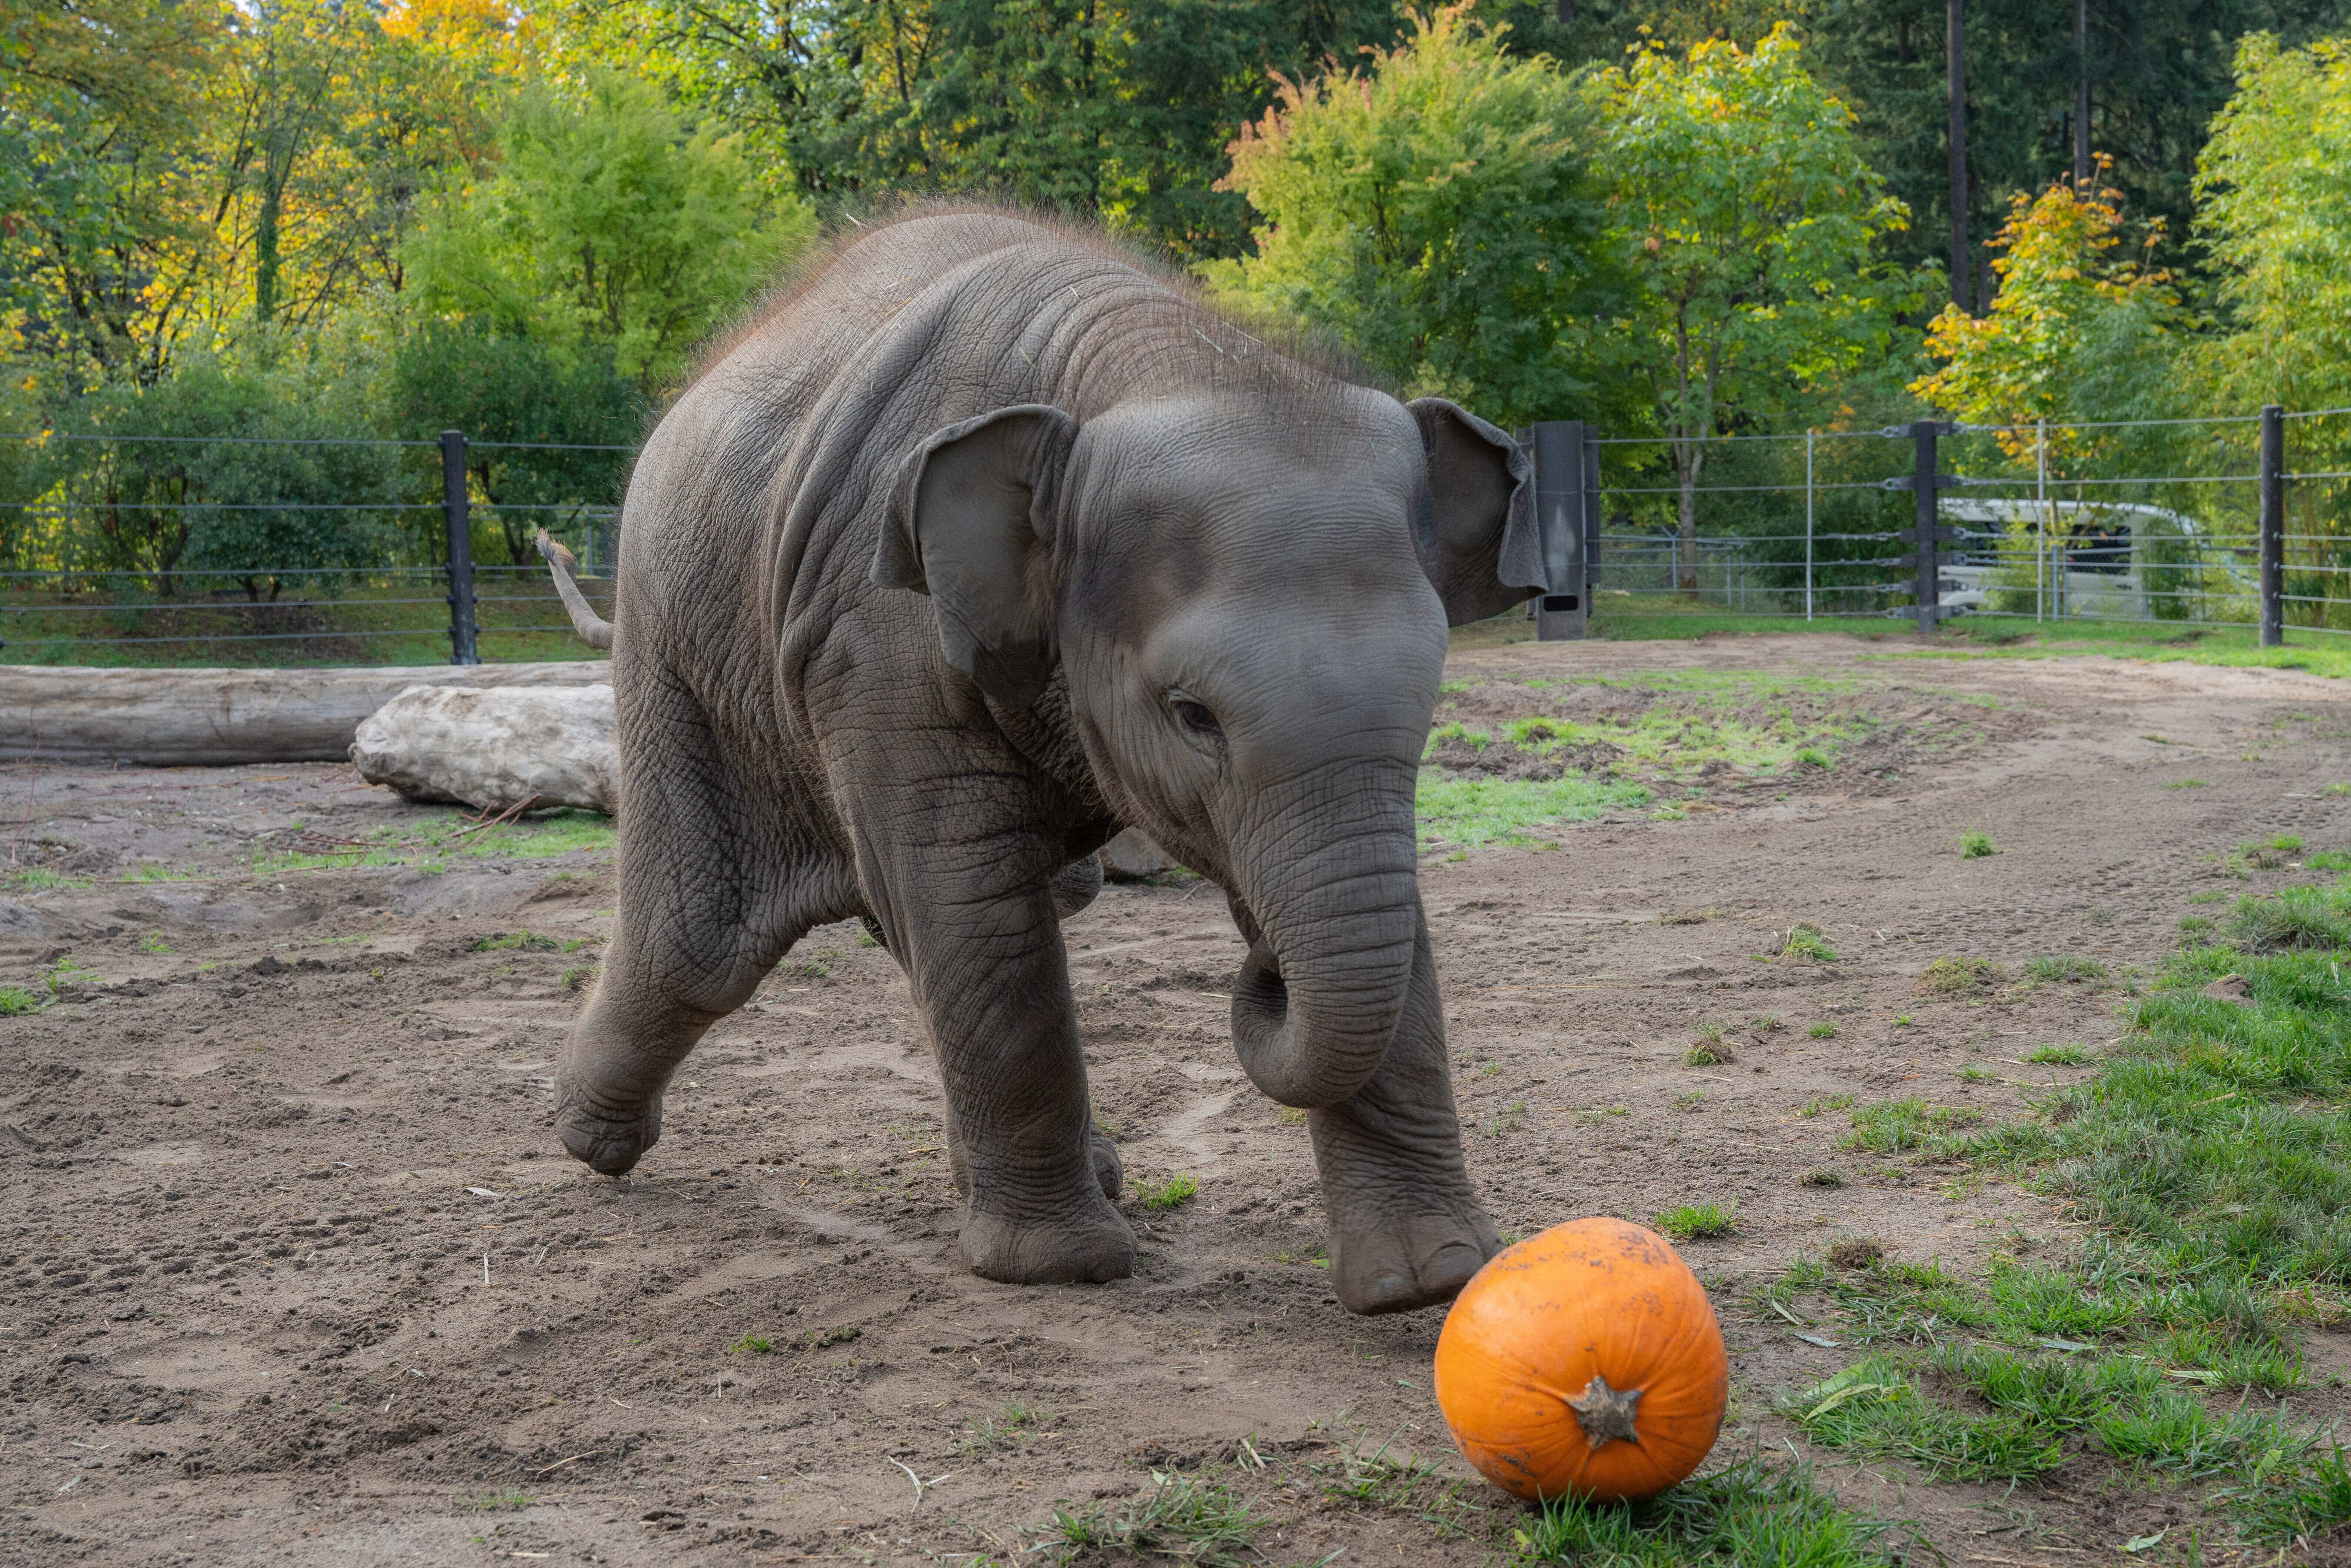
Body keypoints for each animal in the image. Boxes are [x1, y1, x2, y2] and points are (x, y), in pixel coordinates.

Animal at [539, 208, 1550, 1315]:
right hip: (682, 650)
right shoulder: (877, 630)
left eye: (1426, 703)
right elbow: (967, 891)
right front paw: (1061, 1267)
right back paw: (589, 1140)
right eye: (1191, 715)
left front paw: (1430, 1280)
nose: (1263, 973)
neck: (1173, 362)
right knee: (701, 943)